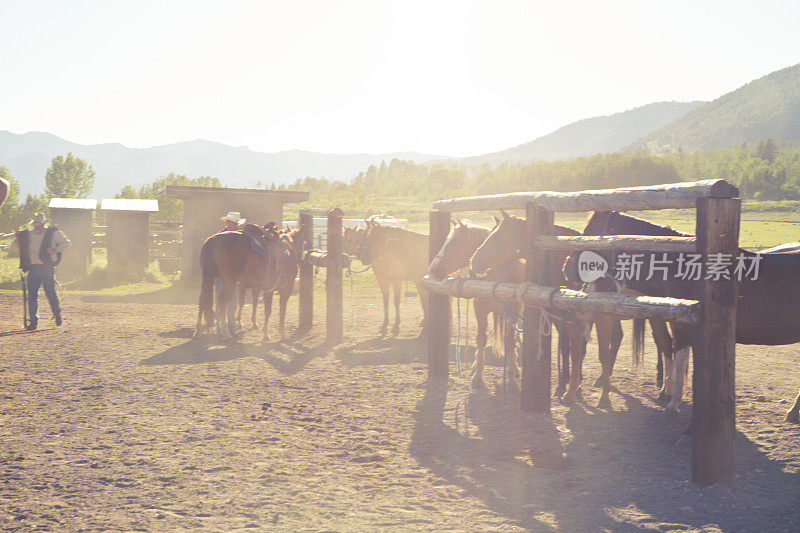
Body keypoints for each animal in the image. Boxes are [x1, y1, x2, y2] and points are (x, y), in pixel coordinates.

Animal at [428, 218, 516, 388]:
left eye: (453, 244)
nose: (432, 269)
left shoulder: (514, 312)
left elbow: (510, 340)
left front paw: (512, 374)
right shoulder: (479, 309)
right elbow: (481, 340)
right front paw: (478, 376)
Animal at [564, 211, 800, 412]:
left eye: (590, 232)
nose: (567, 268)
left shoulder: (683, 323)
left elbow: (678, 356)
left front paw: (673, 400)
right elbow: (677, 353)